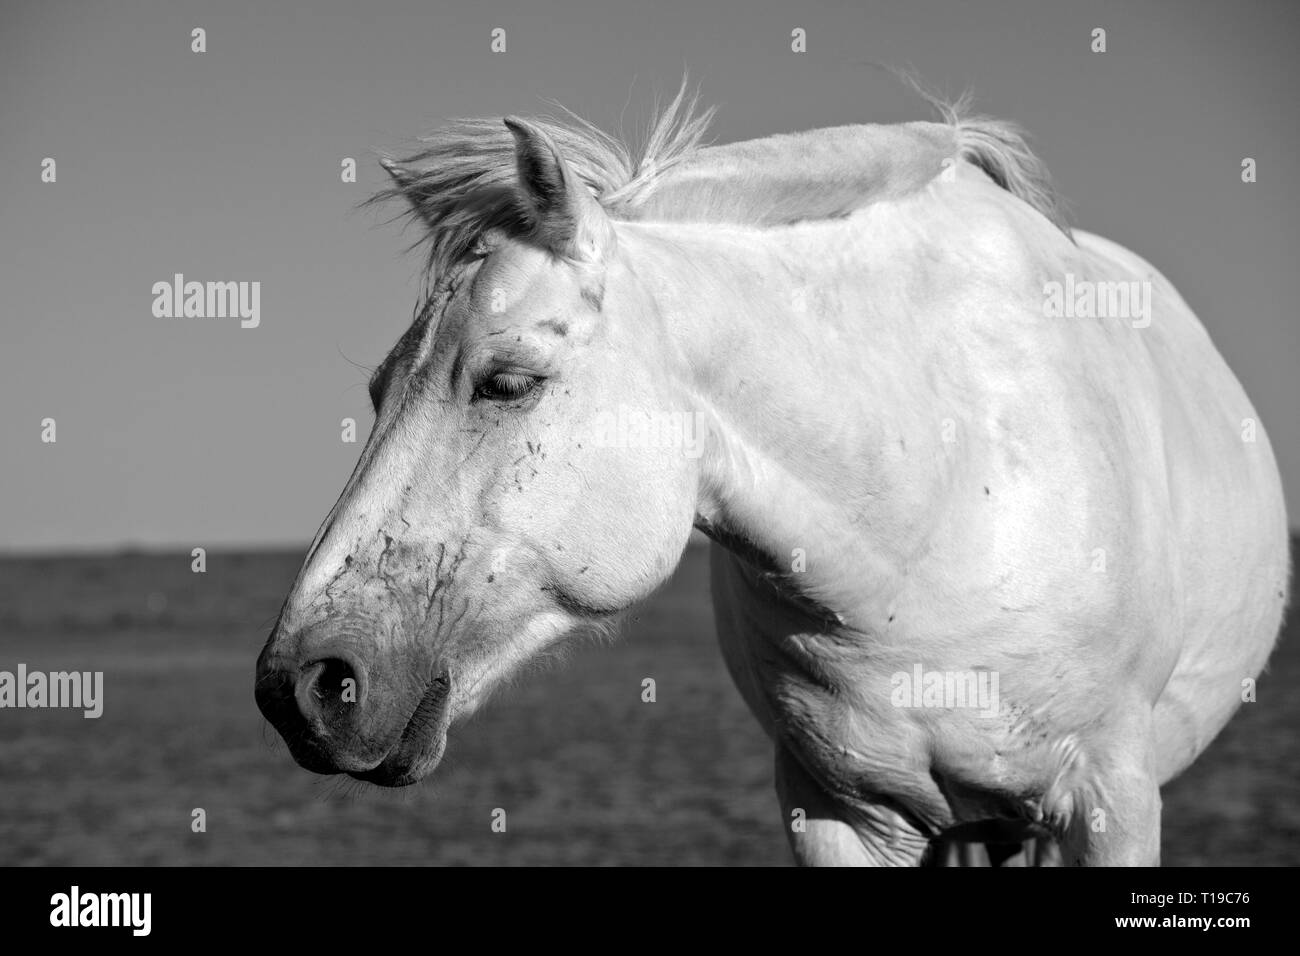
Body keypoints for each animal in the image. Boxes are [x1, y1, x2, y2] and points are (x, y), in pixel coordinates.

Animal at [256, 78, 1289, 863]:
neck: (940, 502)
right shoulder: (839, 814)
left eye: (508, 381)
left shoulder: (1109, 800)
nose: (304, 688)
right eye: (380, 389)